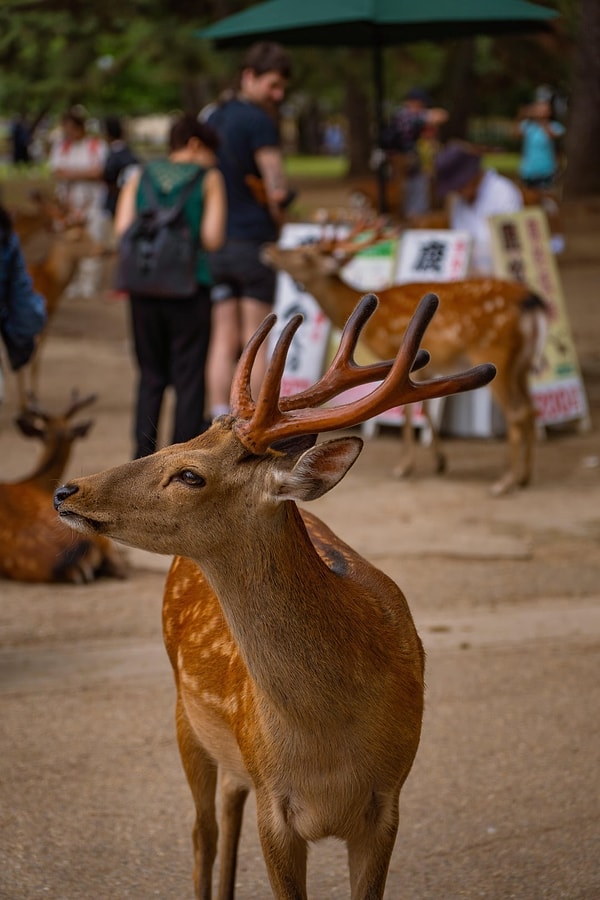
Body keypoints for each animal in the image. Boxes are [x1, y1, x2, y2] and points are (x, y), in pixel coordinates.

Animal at [54, 292, 494, 896]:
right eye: (172, 441)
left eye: (189, 474)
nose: (66, 490)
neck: (326, 745)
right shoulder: (276, 805)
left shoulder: (387, 805)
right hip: (184, 715)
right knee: (203, 831)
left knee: (224, 810)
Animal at [264, 229, 552, 496]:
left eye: (306, 253)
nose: (269, 249)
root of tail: (532, 301)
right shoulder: (423, 366)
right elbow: (424, 408)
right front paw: (439, 461)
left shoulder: (396, 354)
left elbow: (407, 412)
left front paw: (404, 467)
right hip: (522, 364)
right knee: (530, 408)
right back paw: (524, 477)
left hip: (494, 353)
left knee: (515, 412)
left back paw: (504, 482)